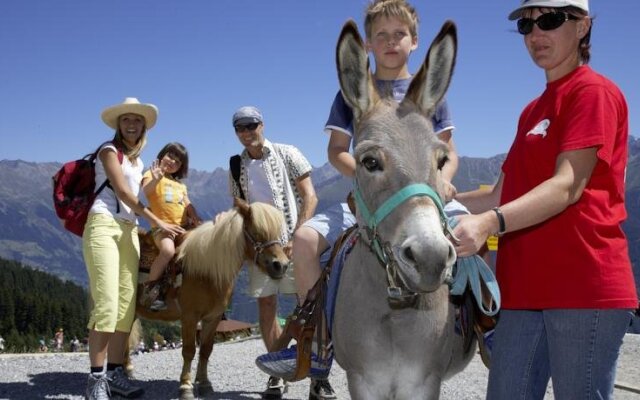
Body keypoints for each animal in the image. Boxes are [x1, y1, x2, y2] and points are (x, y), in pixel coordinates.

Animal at [125, 198, 290, 400]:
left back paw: (127, 371)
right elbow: (189, 351)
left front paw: (204, 384)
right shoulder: (189, 317)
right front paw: (186, 386)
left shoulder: (213, 318)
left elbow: (205, 350)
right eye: (257, 232)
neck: (206, 269)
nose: (281, 265)